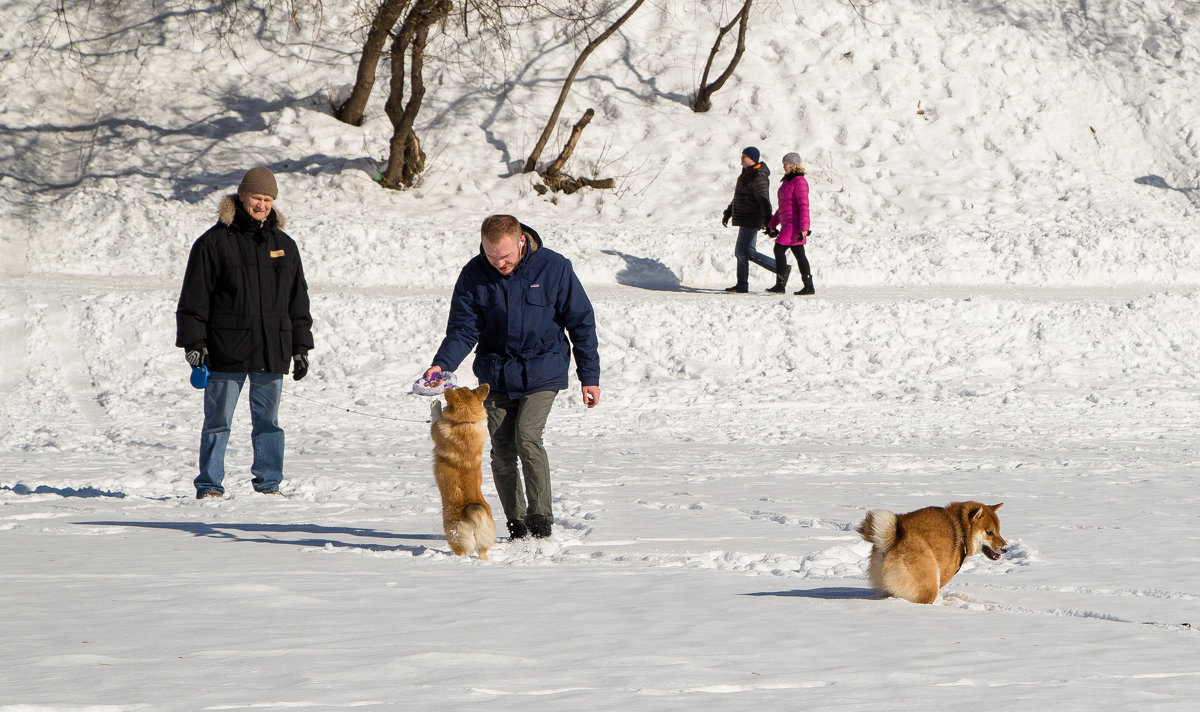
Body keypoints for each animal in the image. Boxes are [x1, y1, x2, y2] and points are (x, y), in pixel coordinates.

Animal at [429, 386, 494, 557]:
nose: (451, 385)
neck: (465, 423)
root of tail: (474, 511)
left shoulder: (436, 430)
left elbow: (436, 417)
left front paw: (435, 404)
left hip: (455, 536)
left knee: (462, 551)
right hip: (485, 539)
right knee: (483, 553)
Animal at [859, 499, 1008, 605]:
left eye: (998, 531)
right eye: (989, 532)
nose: (1006, 548)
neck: (962, 531)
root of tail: (894, 538)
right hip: (929, 584)